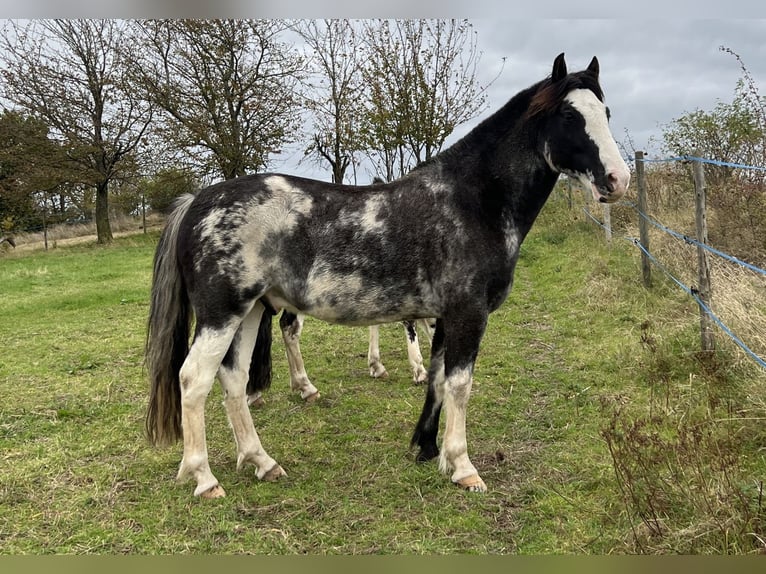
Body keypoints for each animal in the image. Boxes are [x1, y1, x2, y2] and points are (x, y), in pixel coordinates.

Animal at [144, 55, 632, 504]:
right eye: (569, 116)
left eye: (606, 112)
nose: (617, 180)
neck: (471, 201)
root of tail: (198, 200)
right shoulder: (468, 313)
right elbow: (460, 385)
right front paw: (463, 467)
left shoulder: (444, 317)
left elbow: (438, 379)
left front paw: (427, 449)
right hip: (222, 313)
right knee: (194, 380)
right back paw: (205, 478)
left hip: (250, 312)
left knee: (234, 379)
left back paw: (262, 462)